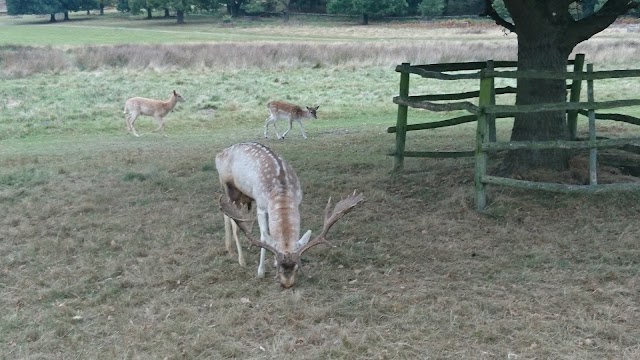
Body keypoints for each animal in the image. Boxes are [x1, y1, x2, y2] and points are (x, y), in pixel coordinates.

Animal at [216, 142, 362, 288]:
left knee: (226, 213)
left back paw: (229, 248)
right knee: (233, 221)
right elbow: (264, 237)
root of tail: (219, 154)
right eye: (279, 267)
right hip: (230, 188)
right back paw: (241, 260)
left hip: (244, 196)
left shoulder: (298, 201)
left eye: (296, 267)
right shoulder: (261, 206)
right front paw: (260, 271)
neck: (282, 192)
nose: (287, 284)